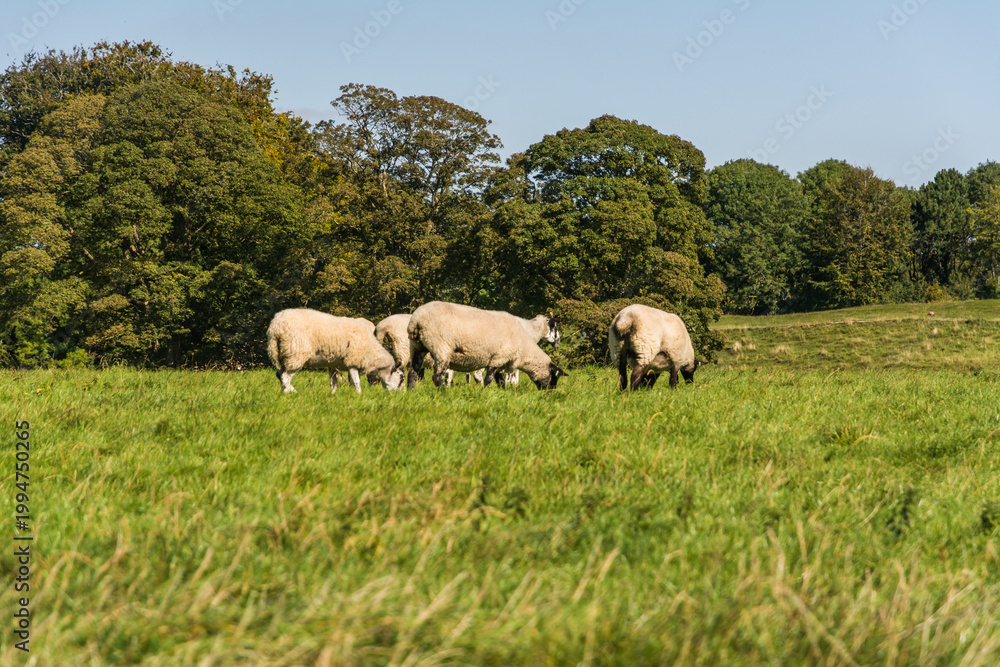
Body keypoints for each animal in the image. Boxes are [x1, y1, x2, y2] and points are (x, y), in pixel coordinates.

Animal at [266, 308, 397, 394]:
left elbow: (333, 383)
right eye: (399, 377)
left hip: (279, 353)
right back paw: (292, 392)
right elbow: (356, 382)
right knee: (285, 377)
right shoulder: (353, 361)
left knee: (280, 374)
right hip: (295, 353)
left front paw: (333, 396)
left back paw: (285, 392)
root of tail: (276, 325)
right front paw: (359, 395)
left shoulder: (333, 364)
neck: (371, 352)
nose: (394, 395)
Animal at [406, 301, 567, 390]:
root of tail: (417, 319)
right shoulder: (498, 358)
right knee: (438, 377)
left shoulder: (502, 362)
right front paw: (483, 392)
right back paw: (444, 393)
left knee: (413, 371)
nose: (549, 393)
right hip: (441, 348)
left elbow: (500, 380)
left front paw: (503, 392)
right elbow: (491, 379)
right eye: (554, 378)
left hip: (417, 346)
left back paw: (410, 391)